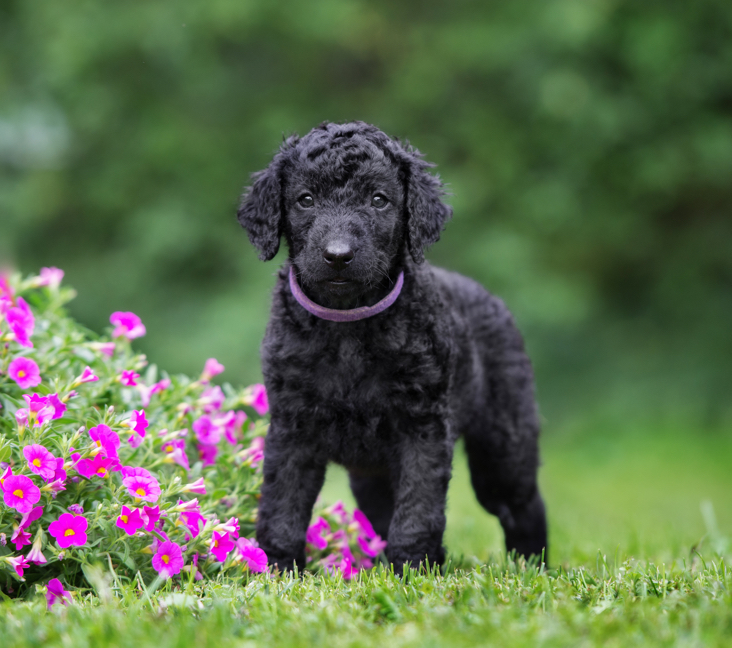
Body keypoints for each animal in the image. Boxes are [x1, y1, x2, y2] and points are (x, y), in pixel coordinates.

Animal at [237, 121, 548, 572]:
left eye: (379, 200)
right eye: (305, 200)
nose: (338, 256)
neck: (348, 325)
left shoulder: (423, 425)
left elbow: (418, 505)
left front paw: (415, 568)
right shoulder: (292, 426)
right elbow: (283, 502)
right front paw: (276, 566)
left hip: (503, 445)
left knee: (522, 505)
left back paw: (532, 564)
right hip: (371, 476)